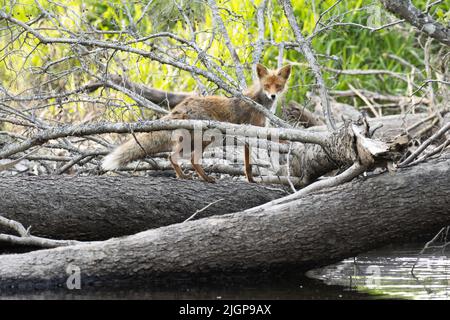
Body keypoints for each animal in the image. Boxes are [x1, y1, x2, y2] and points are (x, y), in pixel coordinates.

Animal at [101, 63, 292, 182]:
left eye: (278, 86)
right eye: (267, 85)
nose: (273, 96)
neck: (259, 102)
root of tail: (182, 105)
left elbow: (247, 164)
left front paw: (250, 180)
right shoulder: (252, 132)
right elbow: (252, 160)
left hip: (192, 140)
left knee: (178, 156)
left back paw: (187, 176)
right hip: (207, 138)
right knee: (183, 157)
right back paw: (202, 178)